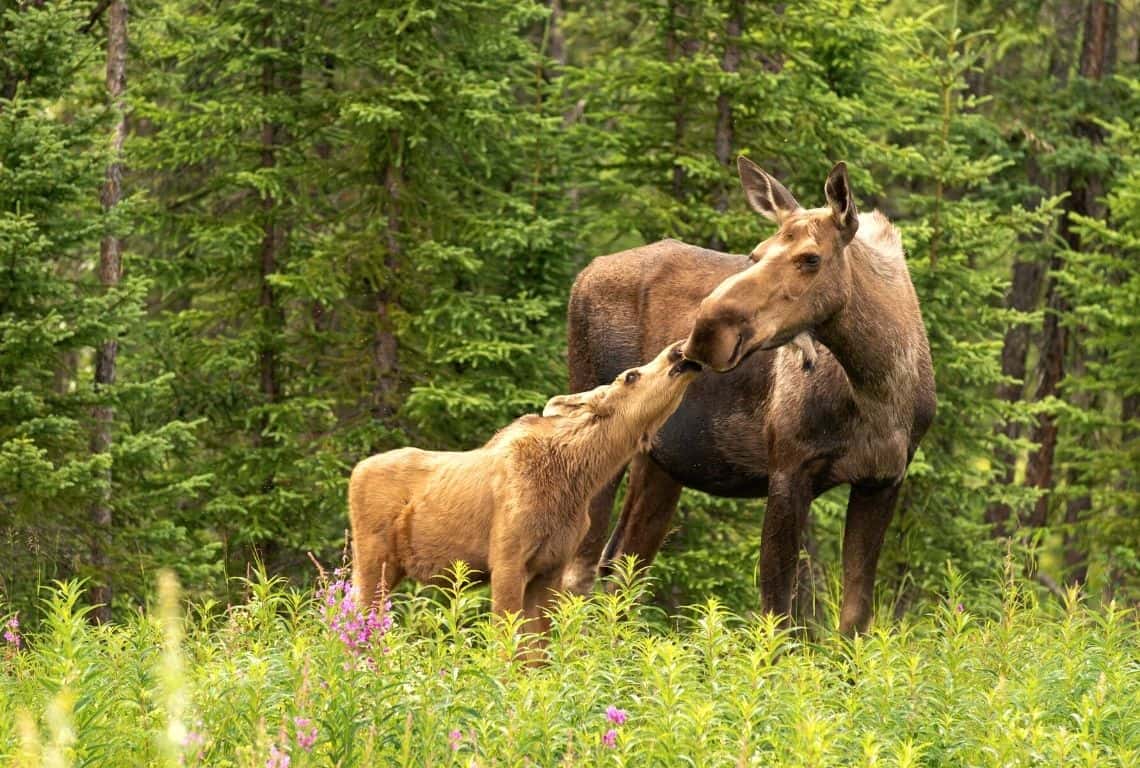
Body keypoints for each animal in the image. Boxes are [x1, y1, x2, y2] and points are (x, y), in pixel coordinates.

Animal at [346, 341, 702, 638]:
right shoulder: (507, 559)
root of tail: (355, 472)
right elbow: (507, 642)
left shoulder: (550, 566)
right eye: (630, 375)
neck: (578, 480)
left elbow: (536, 652)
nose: (677, 352)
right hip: (373, 558)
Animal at [563, 158, 934, 628]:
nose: (705, 332)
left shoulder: (882, 480)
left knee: (622, 566)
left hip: (660, 462)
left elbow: (853, 617)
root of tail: (583, 274)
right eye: (755, 254)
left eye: (810, 258)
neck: (880, 390)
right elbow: (777, 613)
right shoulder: (789, 469)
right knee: (578, 568)